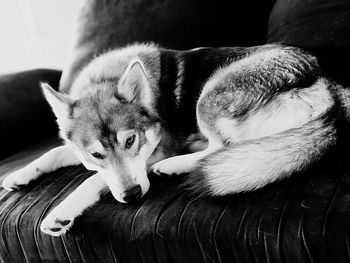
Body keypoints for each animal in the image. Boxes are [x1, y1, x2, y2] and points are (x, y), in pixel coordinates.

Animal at [1, 43, 348, 237]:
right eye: (96, 155)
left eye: (131, 141)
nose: (133, 196)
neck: (103, 80)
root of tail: (326, 83)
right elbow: (55, 153)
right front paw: (18, 176)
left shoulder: (157, 148)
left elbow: (92, 181)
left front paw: (62, 212)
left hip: (209, 94)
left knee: (222, 148)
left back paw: (174, 165)